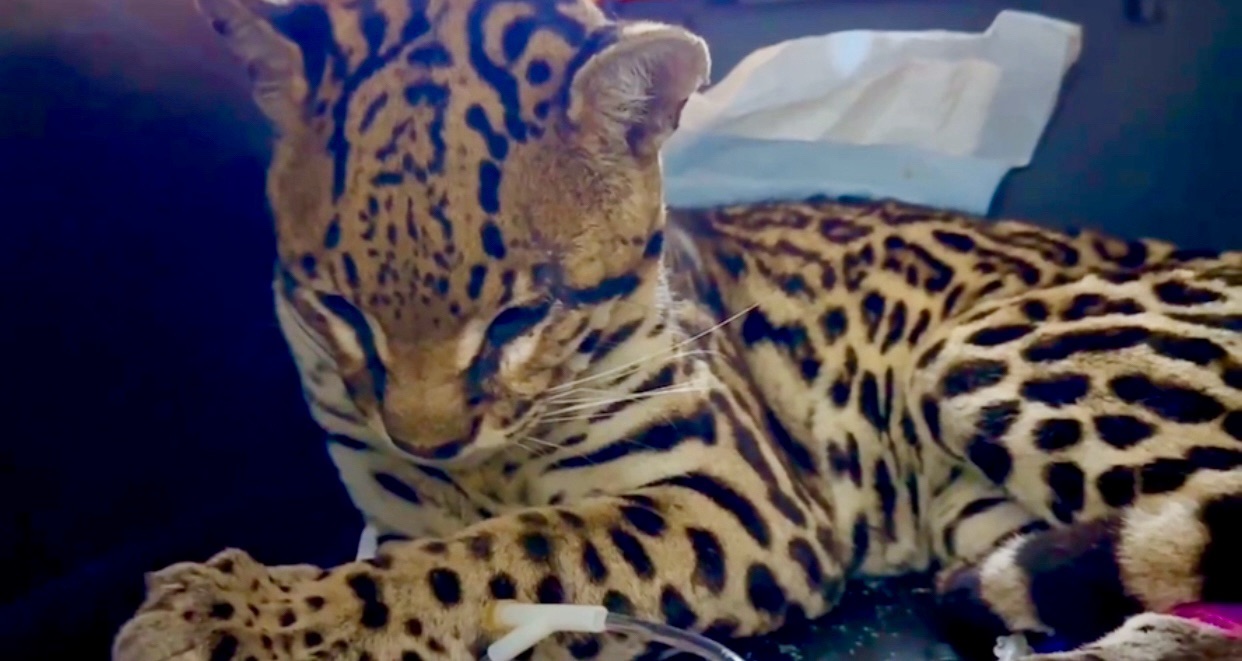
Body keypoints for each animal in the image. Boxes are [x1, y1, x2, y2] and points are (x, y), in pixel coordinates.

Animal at [112, 0, 1242, 659]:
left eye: (522, 313)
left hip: (990, 358)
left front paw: (233, 614)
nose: (430, 443)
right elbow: (429, 553)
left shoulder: (745, 500)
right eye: (338, 305)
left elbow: (499, 554)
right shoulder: (393, 501)